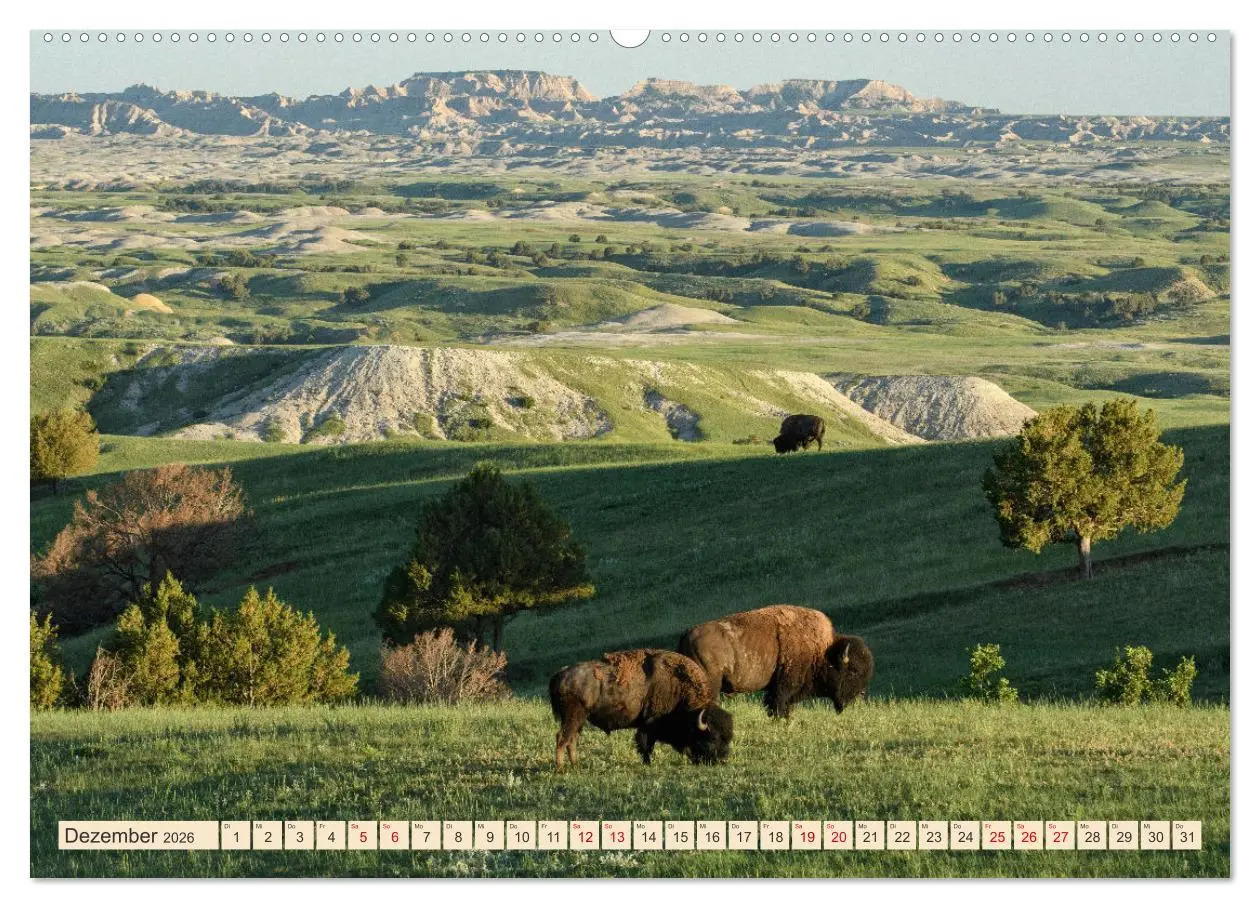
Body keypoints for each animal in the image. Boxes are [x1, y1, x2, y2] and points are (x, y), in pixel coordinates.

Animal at [548, 649, 734, 771]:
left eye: (728, 737)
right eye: (712, 738)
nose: (723, 760)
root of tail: (561, 674)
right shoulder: (649, 724)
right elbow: (646, 744)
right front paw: (647, 763)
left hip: (579, 719)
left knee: (571, 739)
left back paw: (576, 765)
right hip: (573, 716)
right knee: (562, 738)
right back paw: (561, 769)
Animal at [677, 605, 873, 719]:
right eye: (854, 670)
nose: (861, 694)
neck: (824, 651)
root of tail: (687, 634)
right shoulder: (784, 687)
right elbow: (778, 705)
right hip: (710, 685)